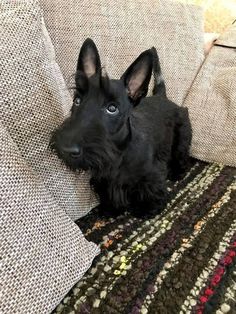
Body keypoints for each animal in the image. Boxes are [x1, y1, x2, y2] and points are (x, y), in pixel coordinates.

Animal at [49, 38, 192, 217]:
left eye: (112, 108)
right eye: (77, 100)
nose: (65, 149)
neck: (118, 153)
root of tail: (162, 96)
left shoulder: (150, 175)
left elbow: (151, 189)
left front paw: (147, 208)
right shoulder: (104, 181)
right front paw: (109, 208)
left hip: (182, 136)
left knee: (181, 155)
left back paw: (177, 172)